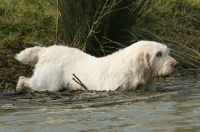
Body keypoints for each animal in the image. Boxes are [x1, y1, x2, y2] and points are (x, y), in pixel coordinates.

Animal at [15, 40, 177, 93]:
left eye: (166, 52)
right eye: (158, 54)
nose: (176, 64)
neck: (132, 70)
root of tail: (45, 50)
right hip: (46, 85)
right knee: (22, 78)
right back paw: (18, 88)